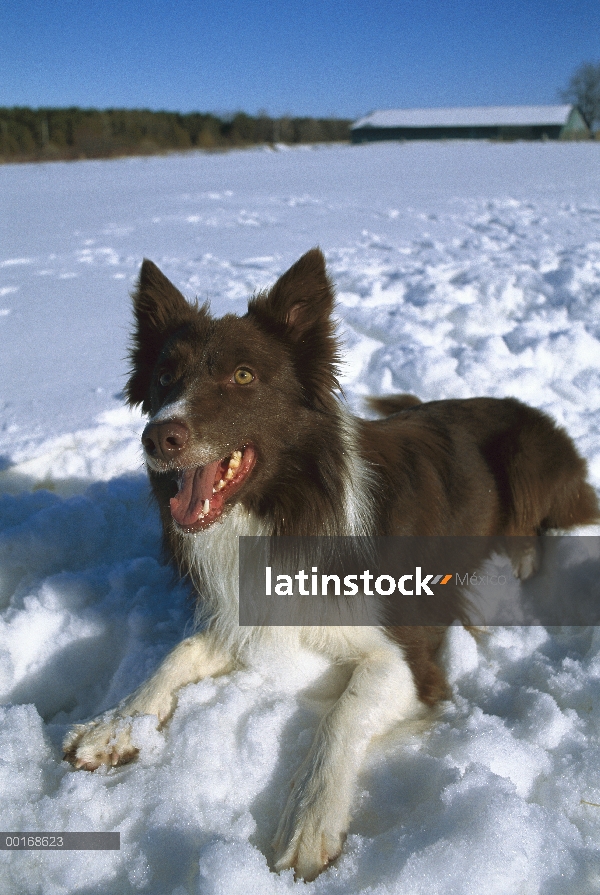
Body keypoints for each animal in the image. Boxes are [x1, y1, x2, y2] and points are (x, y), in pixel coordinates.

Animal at [62, 248, 600, 880]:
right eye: (165, 376)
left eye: (243, 376)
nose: (158, 437)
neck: (286, 510)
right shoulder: (254, 612)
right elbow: (180, 651)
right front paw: (117, 723)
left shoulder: (409, 653)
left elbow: (343, 713)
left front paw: (308, 822)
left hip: (526, 457)